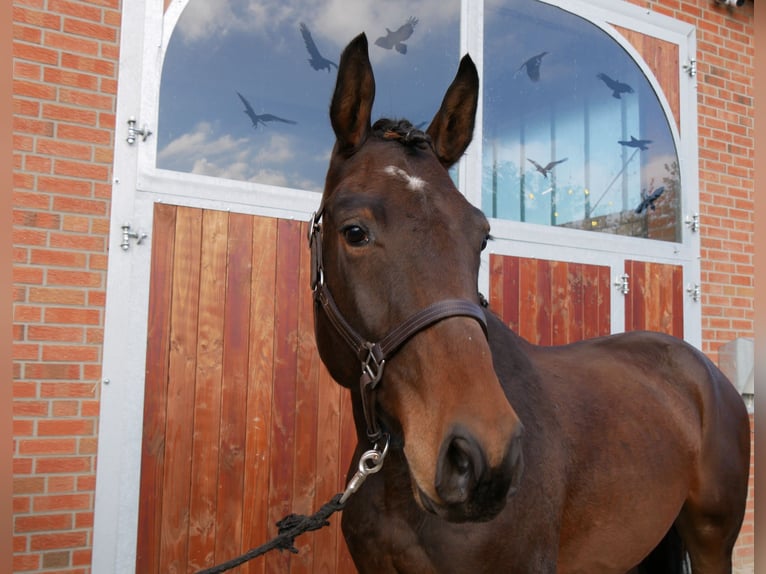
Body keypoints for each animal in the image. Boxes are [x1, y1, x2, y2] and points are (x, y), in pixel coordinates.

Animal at [308, 32, 752, 574]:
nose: (481, 458)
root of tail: (706, 372)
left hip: (712, 539)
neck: (395, 483)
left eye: (481, 235)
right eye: (355, 232)